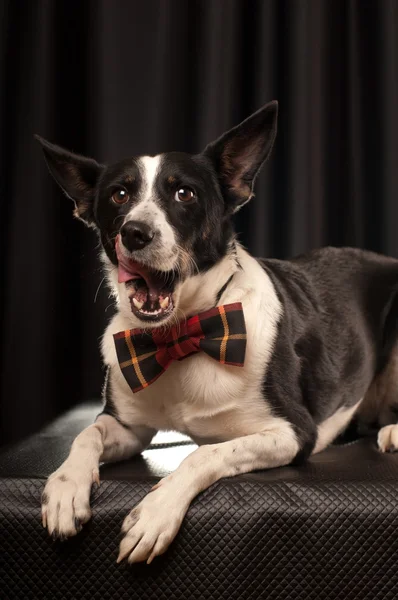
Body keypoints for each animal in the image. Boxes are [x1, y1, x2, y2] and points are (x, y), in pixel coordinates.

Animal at [35, 101, 398, 564]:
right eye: (119, 194)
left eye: (184, 193)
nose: (134, 232)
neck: (181, 335)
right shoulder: (128, 427)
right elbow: (86, 434)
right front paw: (65, 489)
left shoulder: (292, 432)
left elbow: (206, 452)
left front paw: (156, 512)